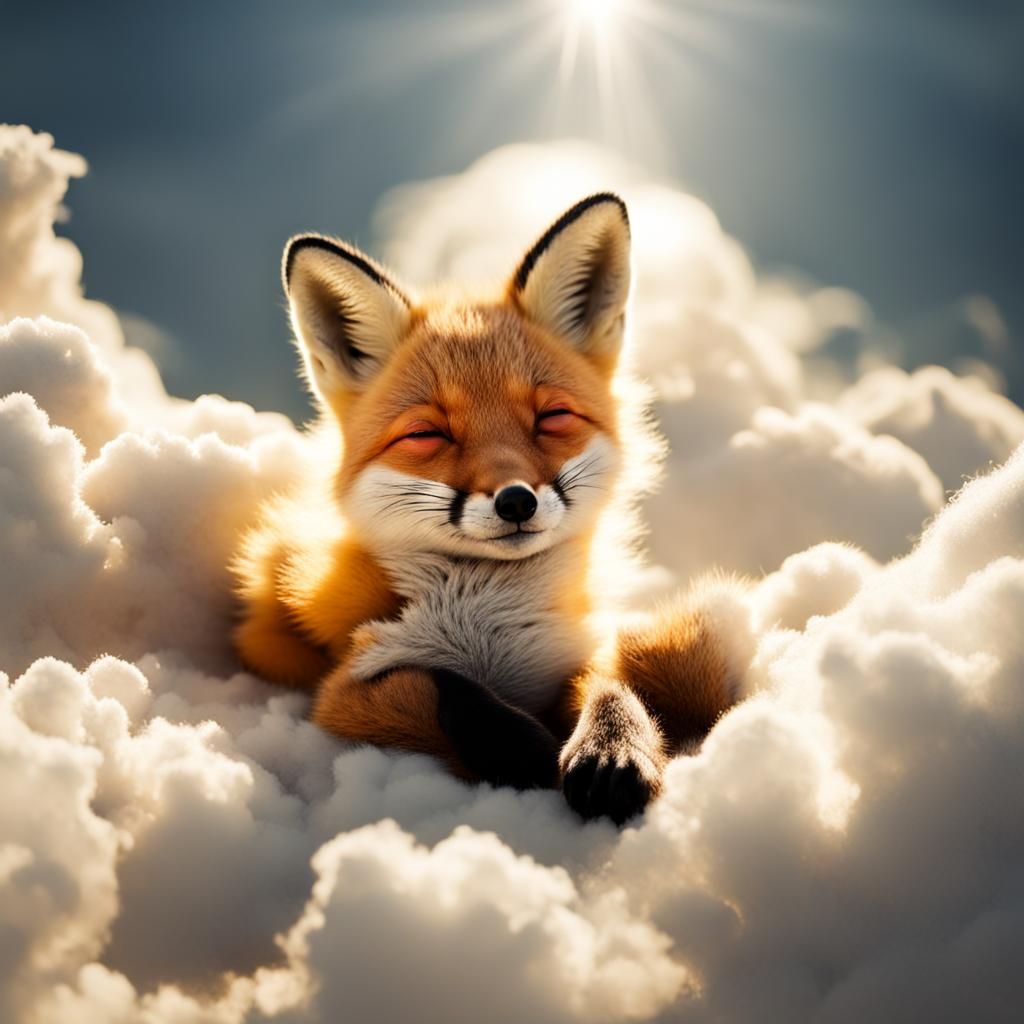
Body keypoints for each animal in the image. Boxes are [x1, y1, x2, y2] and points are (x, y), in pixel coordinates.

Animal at [233, 193, 751, 824]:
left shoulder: (574, 654)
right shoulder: (341, 694)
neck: (490, 625)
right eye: (428, 433)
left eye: (551, 417)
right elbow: (438, 685)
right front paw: (527, 750)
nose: (516, 500)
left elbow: (612, 683)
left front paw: (613, 746)